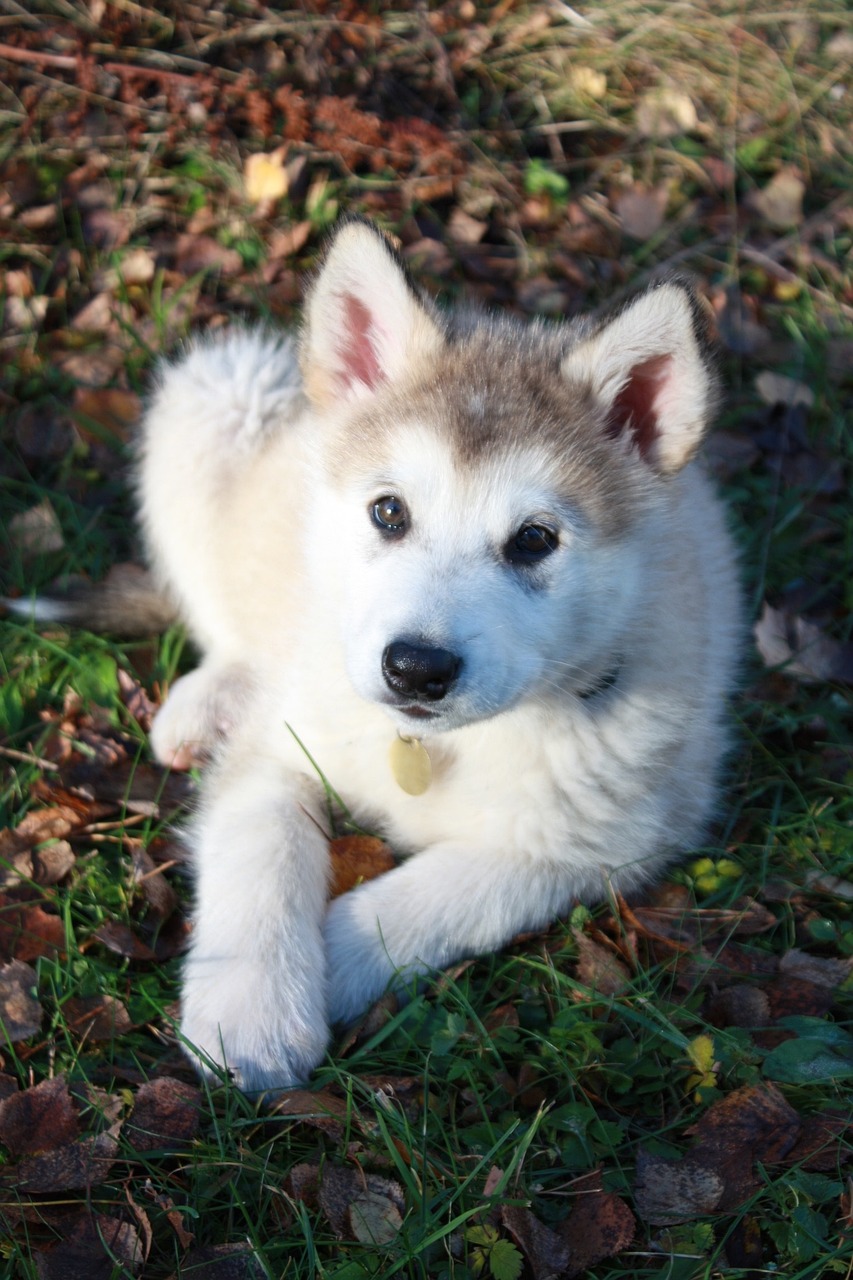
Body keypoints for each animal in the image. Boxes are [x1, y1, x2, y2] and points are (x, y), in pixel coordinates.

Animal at [131, 220, 737, 1090]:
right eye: (389, 512)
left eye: (534, 540)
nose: (415, 668)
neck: (437, 746)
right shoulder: (277, 751)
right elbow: (261, 853)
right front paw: (252, 1008)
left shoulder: (603, 842)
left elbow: (428, 900)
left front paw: (329, 970)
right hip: (217, 391)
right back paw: (206, 702)